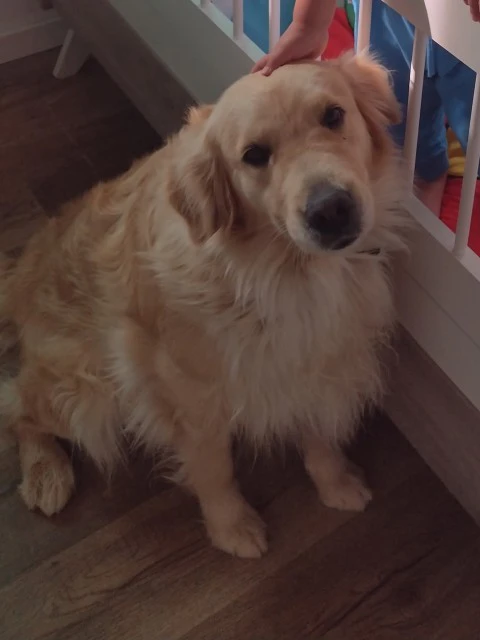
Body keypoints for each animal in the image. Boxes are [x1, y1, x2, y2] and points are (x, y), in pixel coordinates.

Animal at [0, 53, 405, 558]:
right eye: (255, 155)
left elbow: (318, 434)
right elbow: (214, 468)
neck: (280, 272)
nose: (330, 209)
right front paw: (231, 527)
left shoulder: (319, 361)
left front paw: (335, 481)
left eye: (333, 116)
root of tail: (21, 271)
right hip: (87, 392)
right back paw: (46, 473)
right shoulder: (186, 393)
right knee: (16, 407)